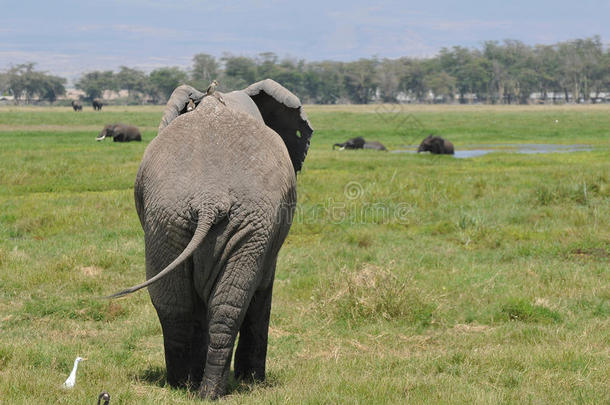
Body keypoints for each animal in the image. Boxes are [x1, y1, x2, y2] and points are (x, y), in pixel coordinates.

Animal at [107, 78, 314, 398]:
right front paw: (253, 382)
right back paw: (208, 388)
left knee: (177, 304)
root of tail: (209, 199)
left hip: (167, 223)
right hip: (230, 225)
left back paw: (187, 385)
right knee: (227, 304)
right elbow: (263, 290)